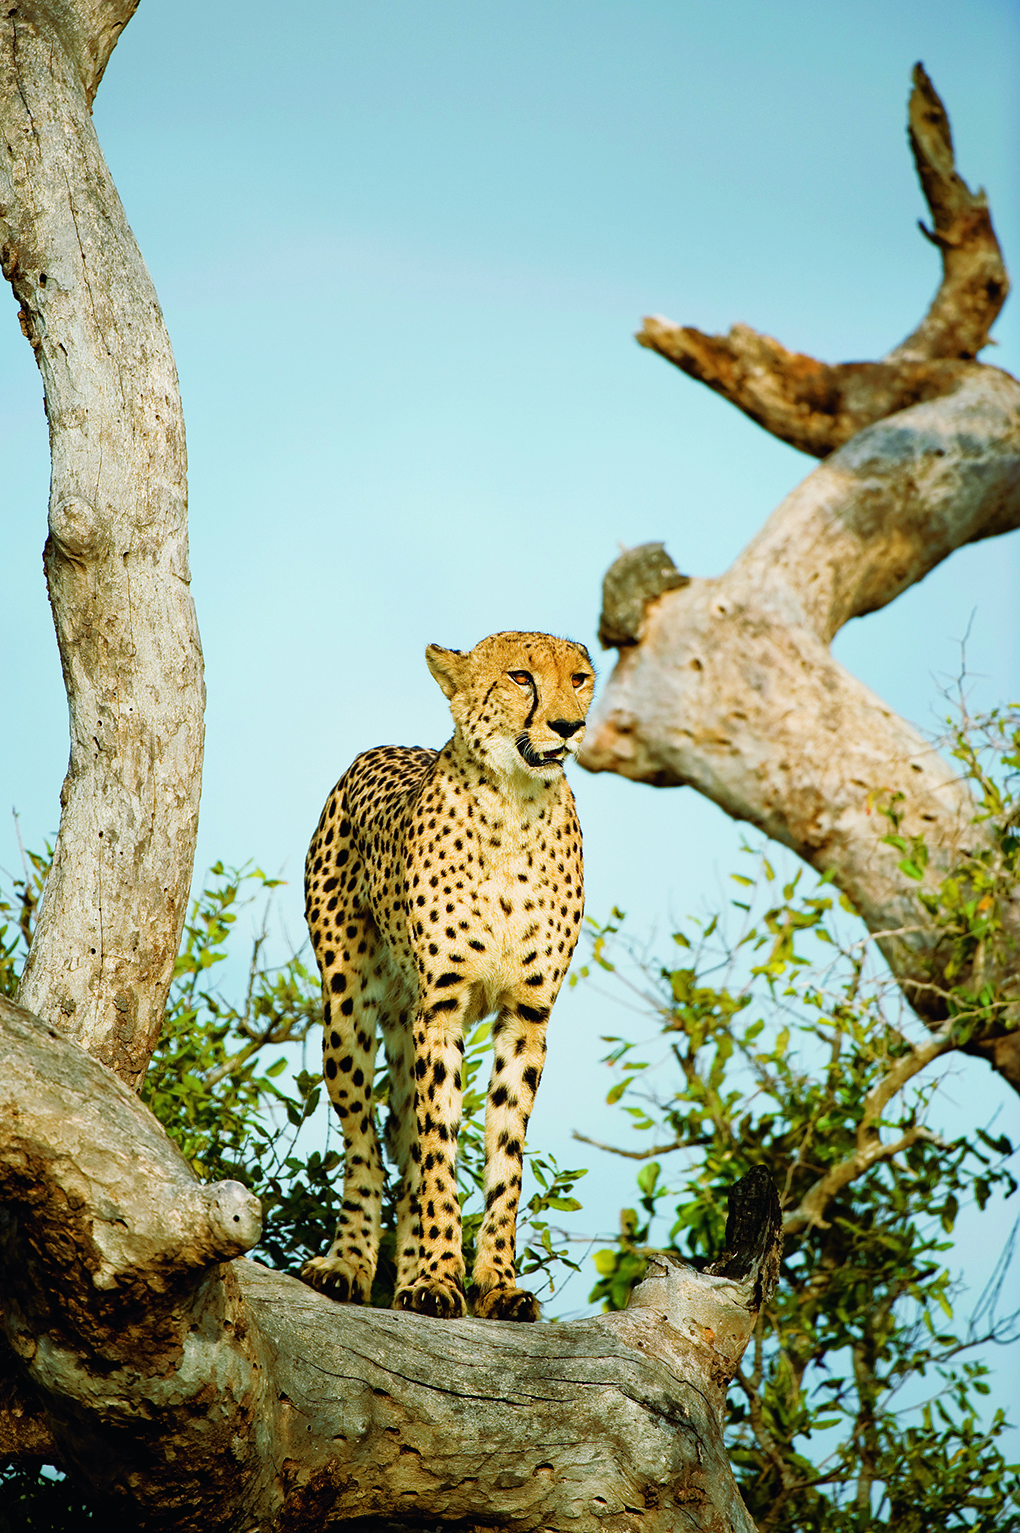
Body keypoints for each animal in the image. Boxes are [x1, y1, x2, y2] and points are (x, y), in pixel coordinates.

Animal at [300, 631, 594, 1322]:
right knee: (366, 1146)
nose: (568, 726)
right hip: (346, 1012)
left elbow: (504, 1153)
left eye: (580, 677)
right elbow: (438, 1147)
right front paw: (438, 1277)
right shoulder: (441, 1007)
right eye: (520, 677)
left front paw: (495, 1283)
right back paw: (352, 1264)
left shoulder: (526, 1015)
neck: (517, 805)